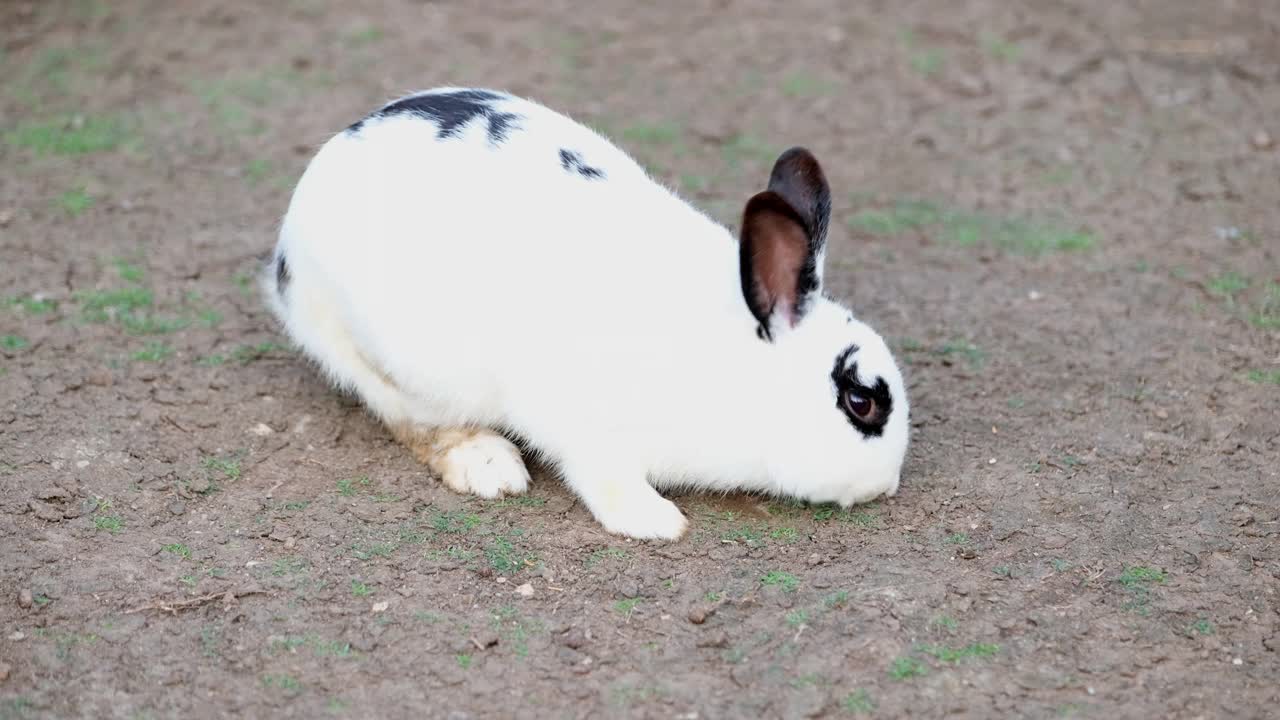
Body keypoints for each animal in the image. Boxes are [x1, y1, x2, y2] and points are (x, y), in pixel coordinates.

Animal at [267, 87, 911, 538]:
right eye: (861, 401)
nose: (889, 484)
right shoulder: (579, 424)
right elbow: (602, 476)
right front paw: (657, 521)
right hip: (391, 362)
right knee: (409, 420)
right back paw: (489, 466)